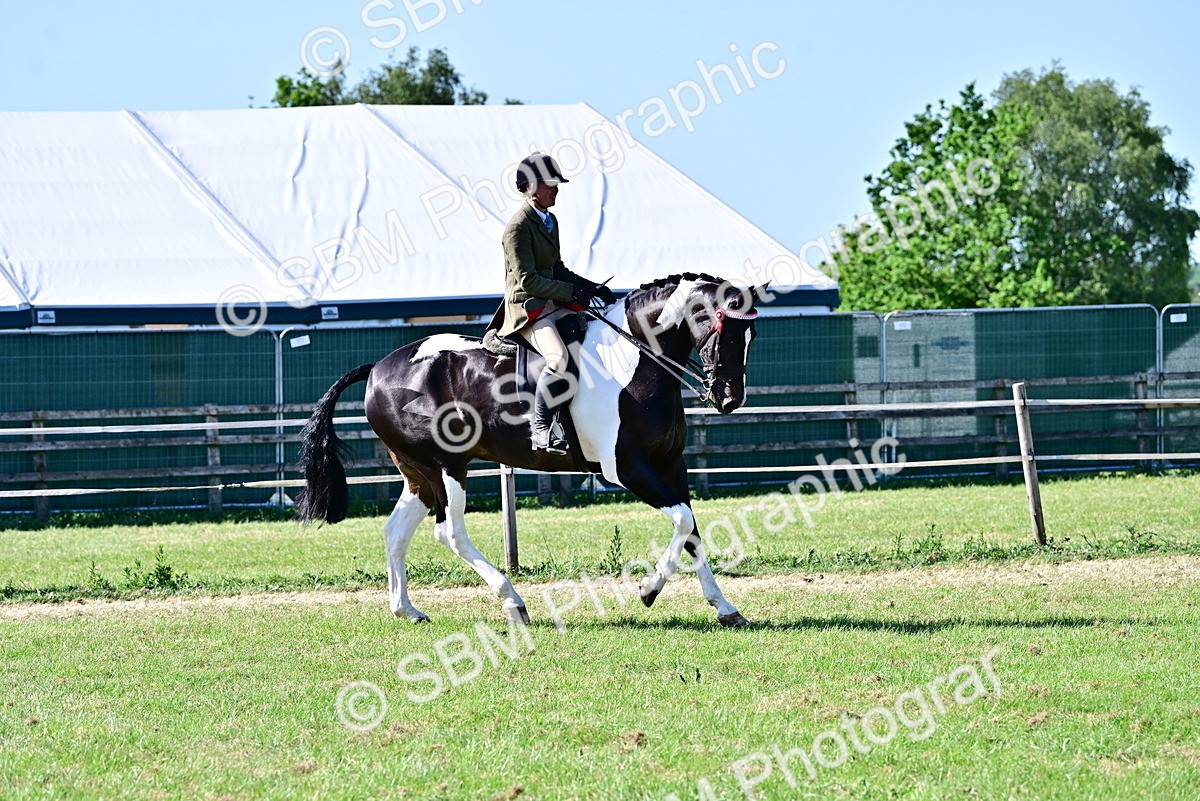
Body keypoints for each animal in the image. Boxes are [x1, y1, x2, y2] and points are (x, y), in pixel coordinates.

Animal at [295, 272, 764, 628]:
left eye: (752, 335)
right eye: (724, 330)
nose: (729, 398)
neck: (635, 360)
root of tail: (378, 367)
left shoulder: (670, 465)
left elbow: (692, 531)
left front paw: (725, 608)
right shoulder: (627, 467)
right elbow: (683, 521)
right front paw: (648, 590)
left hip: (418, 473)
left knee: (396, 531)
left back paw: (407, 609)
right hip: (447, 465)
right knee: (450, 532)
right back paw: (512, 601)